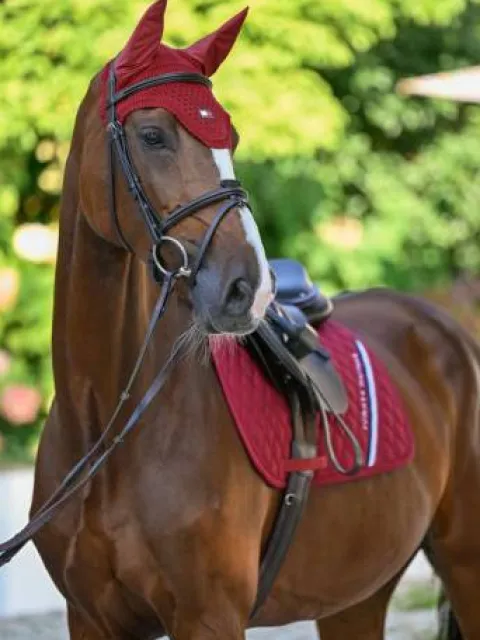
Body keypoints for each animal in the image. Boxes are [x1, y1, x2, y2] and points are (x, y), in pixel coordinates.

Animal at [29, 2, 480, 638]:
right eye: (152, 135)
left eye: (232, 139)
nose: (250, 286)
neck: (107, 431)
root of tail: (443, 327)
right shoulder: (90, 617)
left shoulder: (211, 616)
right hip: (356, 596)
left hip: (467, 562)